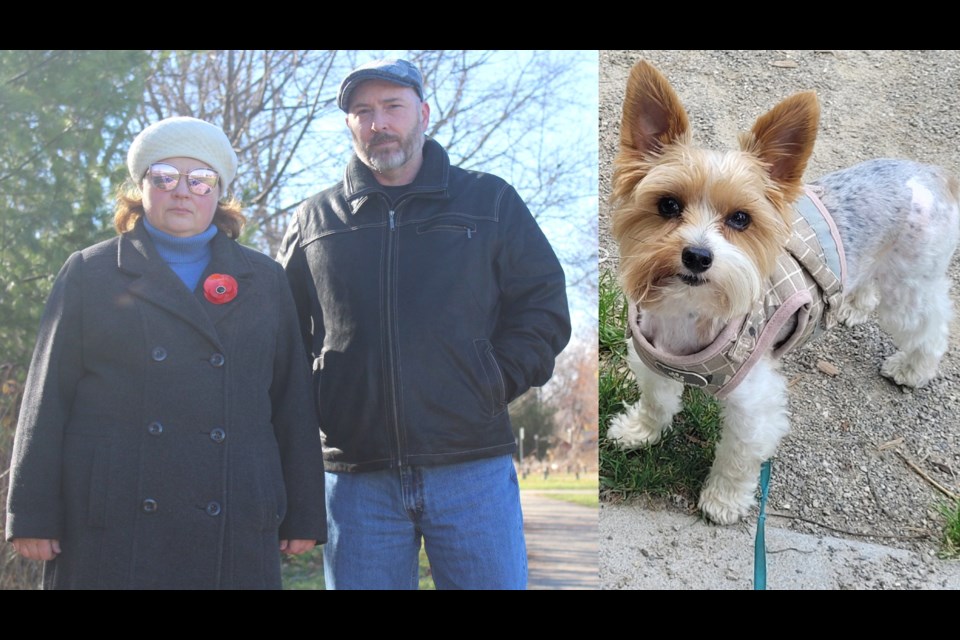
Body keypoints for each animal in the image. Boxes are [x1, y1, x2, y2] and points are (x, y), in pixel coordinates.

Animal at [608, 61, 960, 524]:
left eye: (740, 218)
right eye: (667, 205)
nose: (698, 256)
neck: (690, 312)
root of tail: (930, 173)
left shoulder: (754, 404)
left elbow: (737, 456)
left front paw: (723, 499)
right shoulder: (653, 361)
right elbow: (656, 401)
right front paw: (641, 431)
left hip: (909, 284)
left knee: (930, 326)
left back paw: (912, 369)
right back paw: (854, 306)